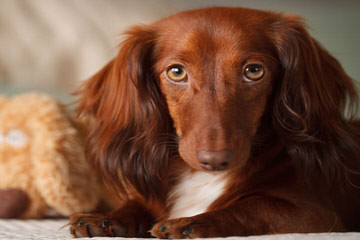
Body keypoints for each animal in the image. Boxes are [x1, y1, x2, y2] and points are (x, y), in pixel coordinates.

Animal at [68, 7, 360, 238]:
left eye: (254, 71)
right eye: (176, 72)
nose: (215, 160)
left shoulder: (317, 215)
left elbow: (254, 206)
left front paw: (191, 223)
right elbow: (138, 203)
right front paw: (106, 218)